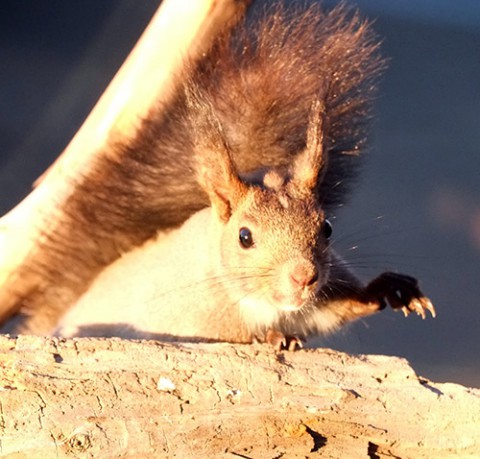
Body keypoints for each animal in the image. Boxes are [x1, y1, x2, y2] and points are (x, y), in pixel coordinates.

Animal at [0, 2, 436, 342]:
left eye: (327, 227)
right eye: (244, 237)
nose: (303, 277)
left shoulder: (316, 302)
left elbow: (337, 309)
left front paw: (393, 289)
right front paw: (273, 338)